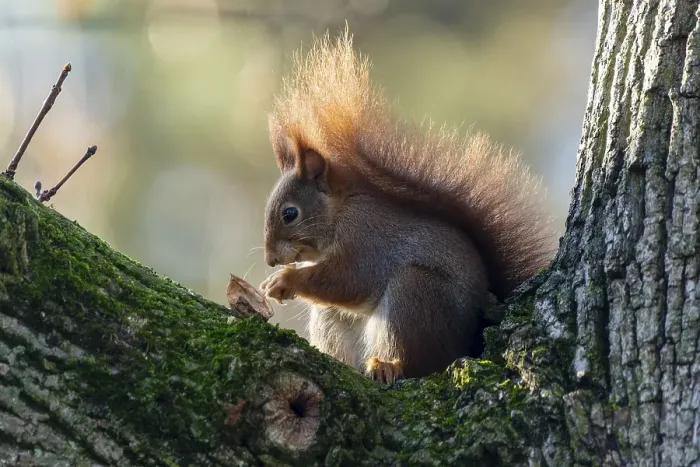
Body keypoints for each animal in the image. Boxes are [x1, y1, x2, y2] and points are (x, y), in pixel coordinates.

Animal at [260, 28, 557, 384]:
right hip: (334, 318)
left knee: (413, 358)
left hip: (415, 293)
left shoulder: (366, 239)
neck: (340, 213)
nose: (270, 259)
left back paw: (388, 365)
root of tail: (467, 345)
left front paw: (284, 281)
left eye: (290, 214)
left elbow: (349, 279)